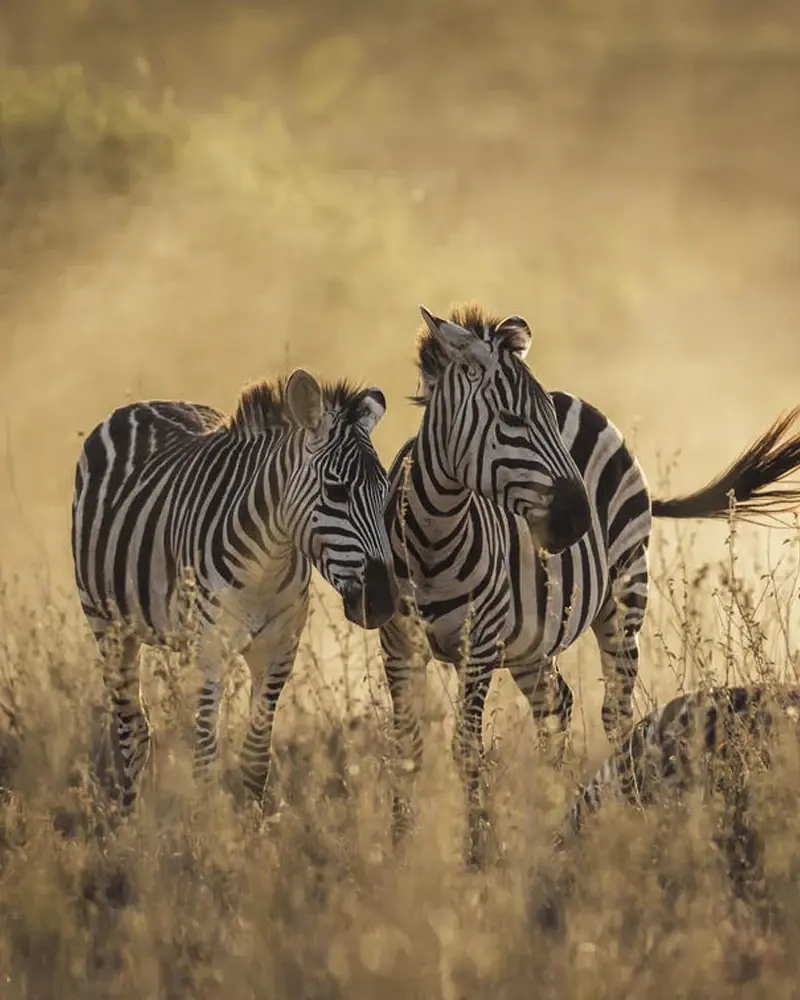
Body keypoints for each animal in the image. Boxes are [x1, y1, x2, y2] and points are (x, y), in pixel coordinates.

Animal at [71, 368, 397, 810]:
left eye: (386, 492)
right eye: (336, 492)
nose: (381, 603)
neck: (267, 567)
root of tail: (143, 404)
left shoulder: (278, 652)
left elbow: (255, 758)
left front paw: (251, 826)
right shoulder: (212, 652)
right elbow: (205, 761)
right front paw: (206, 828)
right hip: (107, 625)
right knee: (132, 732)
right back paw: (129, 822)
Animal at [380, 302, 800, 866]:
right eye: (512, 420)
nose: (578, 519)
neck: (431, 538)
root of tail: (574, 398)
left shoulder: (480, 645)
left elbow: (466, 750)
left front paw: (476, 857)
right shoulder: (398, 645)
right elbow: (406, 749)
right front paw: (399, 852)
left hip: (625, 599)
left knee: (616, 716)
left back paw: (623, 815)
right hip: (531, 641)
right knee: (555, 706)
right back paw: (551, 813)